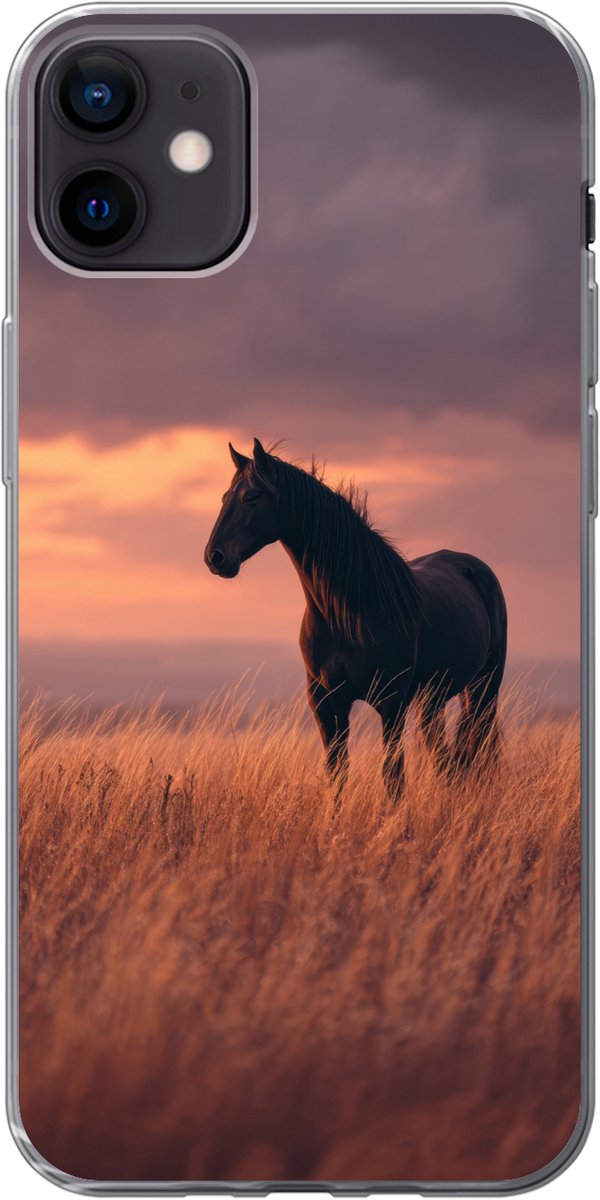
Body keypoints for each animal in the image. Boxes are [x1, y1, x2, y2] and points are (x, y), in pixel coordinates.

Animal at [204, 439, 507, 800]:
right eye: (225, 496)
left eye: (251, 496)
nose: (214, 557)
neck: (351, 613)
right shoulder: (325, 703)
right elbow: (337, 774)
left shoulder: (391, 702)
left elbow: (393, 776)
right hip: (432, 698)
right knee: (445, 757)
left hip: (483, 688)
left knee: (477, 746)